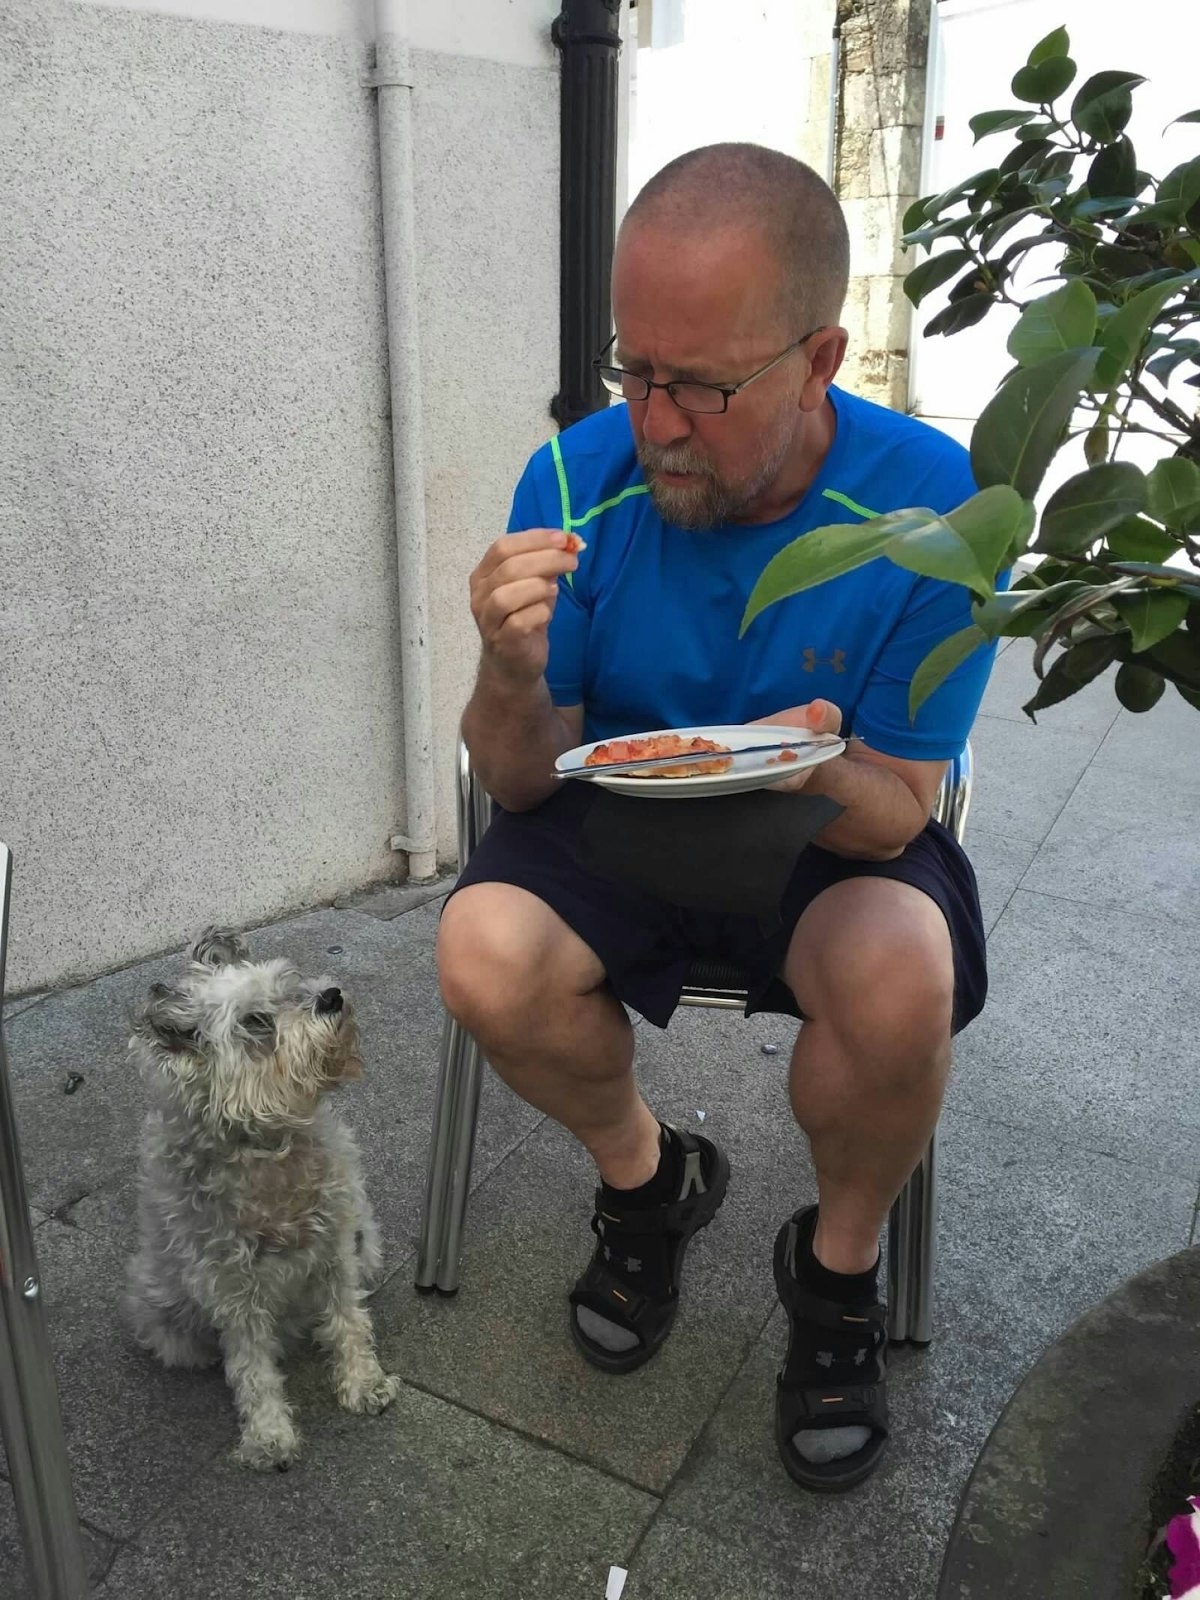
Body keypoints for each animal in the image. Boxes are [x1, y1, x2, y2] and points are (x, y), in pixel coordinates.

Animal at [126, 934, 401, 1465]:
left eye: (288, 985)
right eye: (256, 1021)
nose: (330, 996)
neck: (270, 1151)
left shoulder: (337, 1253)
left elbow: (349, 1322)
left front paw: (363, 1382)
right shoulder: (232, 1291)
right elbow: (251, 1365)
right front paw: (269, 1433)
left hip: (366, 1244)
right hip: (167, 1318)